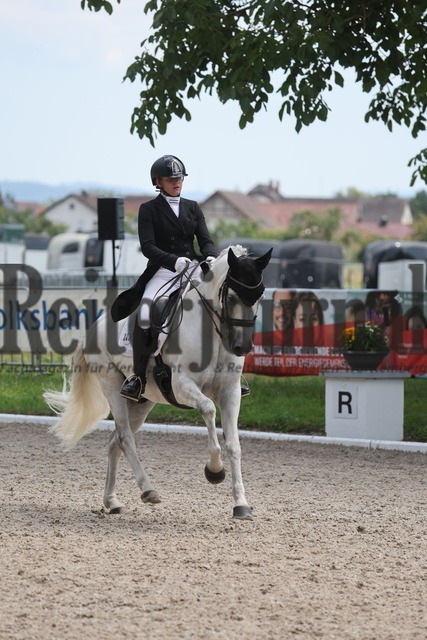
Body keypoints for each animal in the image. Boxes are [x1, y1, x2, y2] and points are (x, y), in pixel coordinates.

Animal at [43, 245, 270, 520]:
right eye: (233, 296)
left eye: (260, 294)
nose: (241, 347)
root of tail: (94, 326)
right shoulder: (182, 386)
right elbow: (208, 409)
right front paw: (214, 470)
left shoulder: (231, 392)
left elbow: (234, 445)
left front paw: (241, 504)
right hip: (111, 385)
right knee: (125, 437)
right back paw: (148, 490)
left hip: (142, 401)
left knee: (115, 440)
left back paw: (112, 501)